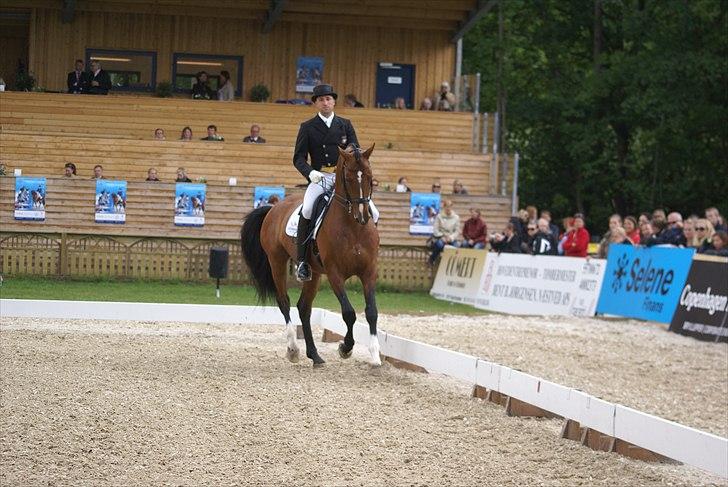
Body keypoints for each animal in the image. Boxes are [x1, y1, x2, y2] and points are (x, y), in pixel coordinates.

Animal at [243, 144, 384, 366]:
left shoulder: (368, 272)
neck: (353, 228)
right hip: (277, 262)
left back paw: (315, 355)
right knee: (284, 301)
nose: (362, 216)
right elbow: (349, 313)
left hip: (314, 273)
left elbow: (371, 313)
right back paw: (293, 349)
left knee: (303, 307)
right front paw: (345, 348)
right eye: (349, 178)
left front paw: (375, 357)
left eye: (370, 176)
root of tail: (274, 207)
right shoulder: (335, 273)